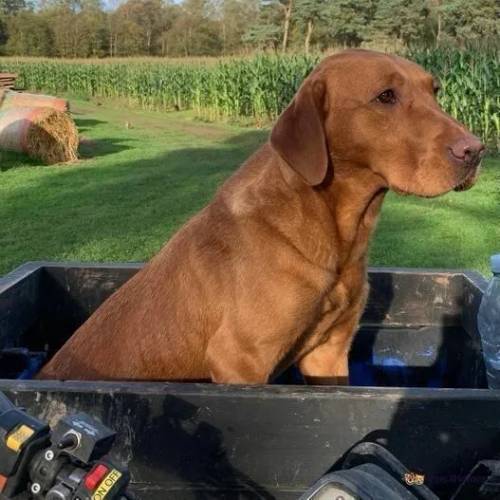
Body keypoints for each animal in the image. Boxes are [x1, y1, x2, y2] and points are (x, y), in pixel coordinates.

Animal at [39, 49, 484, 382]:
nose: (475, 150)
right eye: (386, 96)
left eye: (436, 91)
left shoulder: (329, 353)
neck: (339, 231)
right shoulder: (240, 360)